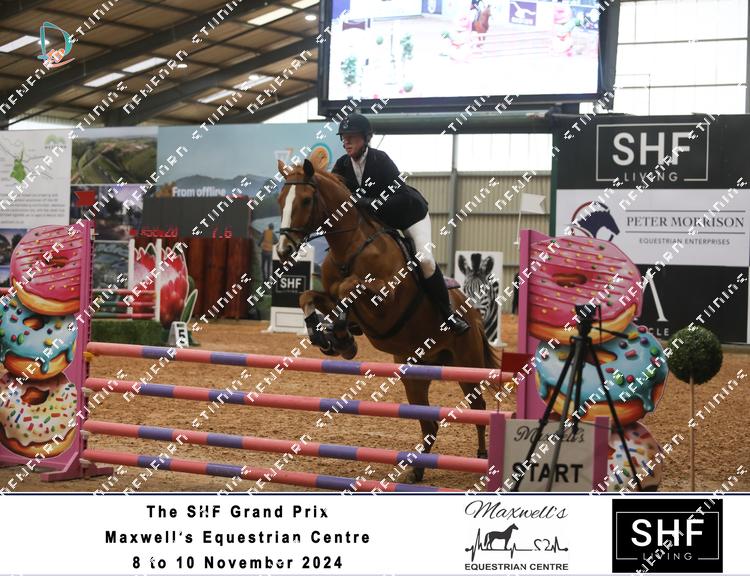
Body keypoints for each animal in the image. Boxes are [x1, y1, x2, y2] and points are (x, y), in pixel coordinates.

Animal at [275, 158, 501, 483]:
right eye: (280, 200)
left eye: (305, 200)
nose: (283, 250)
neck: (350, 246)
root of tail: (471, 312)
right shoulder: (329, 296)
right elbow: (308, 296)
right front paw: (329, 338)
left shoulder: (386, 300)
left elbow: (349, 287)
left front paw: (342, 337)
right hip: (415, 372)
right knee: (428, 421)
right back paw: (418, 470)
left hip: (466, 364)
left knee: (478, 406)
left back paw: (482, 456)